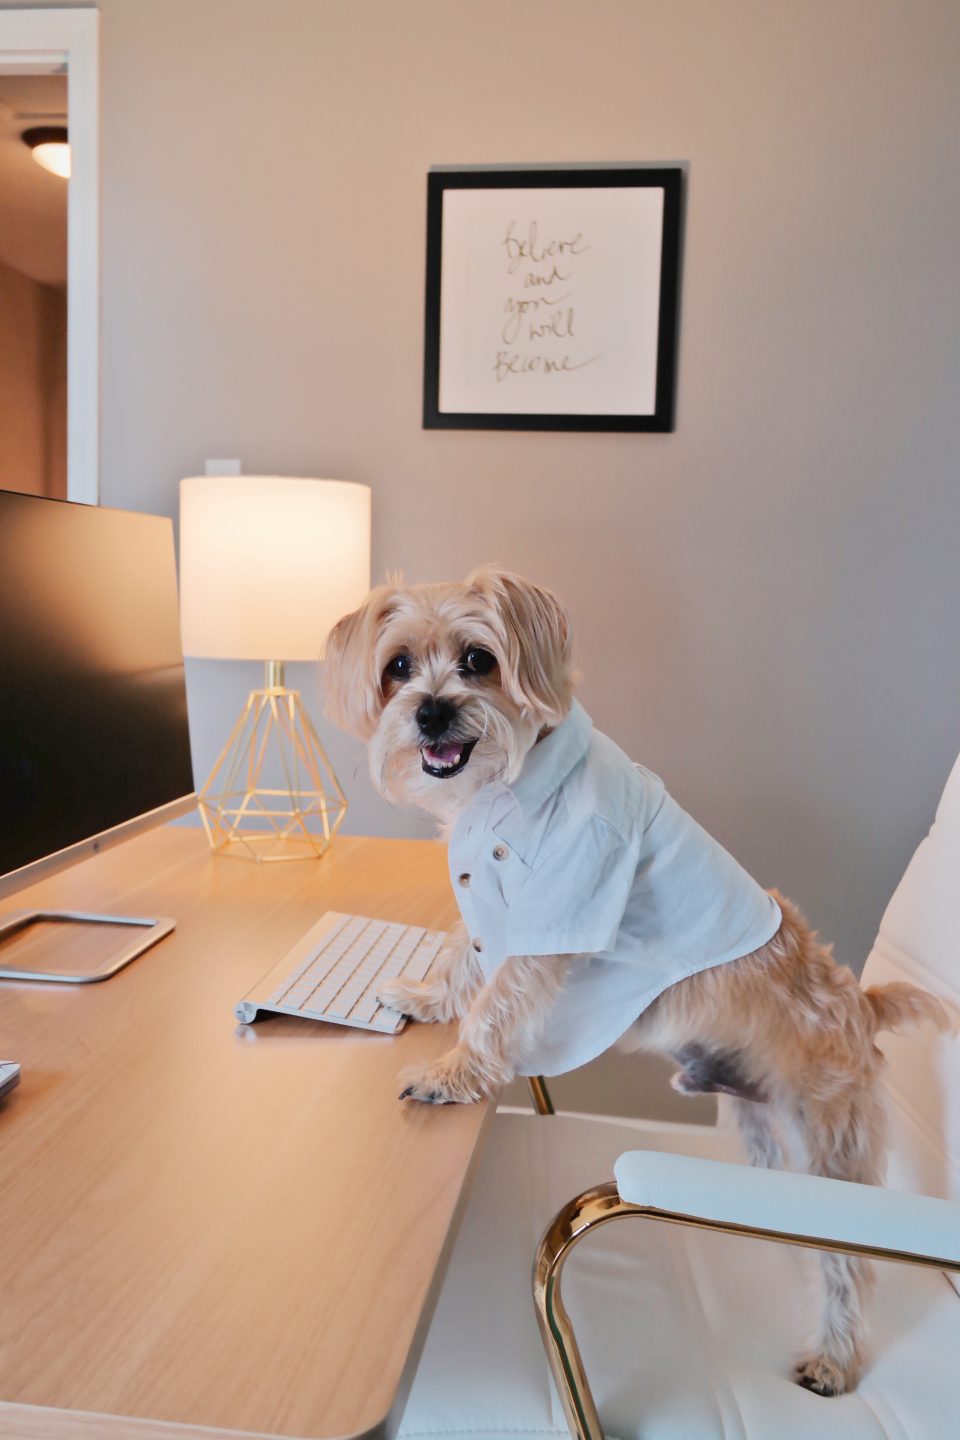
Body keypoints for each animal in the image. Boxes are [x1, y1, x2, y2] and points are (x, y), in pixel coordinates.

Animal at [320, 564, 944, 1393]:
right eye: (396, 667)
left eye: (478, 660)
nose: (431, 711)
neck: (504, 791)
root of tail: (863, 1007)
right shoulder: (494, 915)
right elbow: (462, 954)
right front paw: (422, 996)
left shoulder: (557, 913)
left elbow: (495, 1001)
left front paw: (452, 1072)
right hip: (758, 1122)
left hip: (833, 1148)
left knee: (850, 1264)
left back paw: (833, 1358)